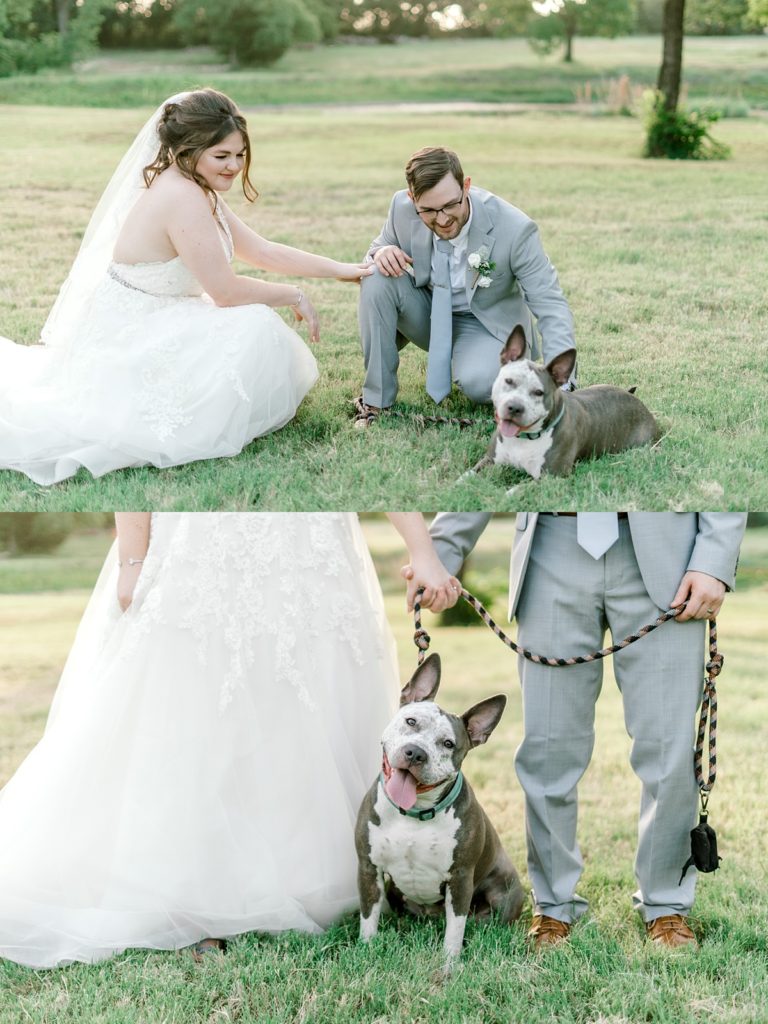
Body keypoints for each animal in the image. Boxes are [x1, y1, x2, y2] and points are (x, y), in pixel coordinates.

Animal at [354, 651, 524, 970]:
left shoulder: (460, 878)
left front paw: (449, 963)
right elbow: (368, 917)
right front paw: (366, 949)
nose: (415, 753)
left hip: (503, 890)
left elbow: (455, 928)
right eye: (411, 721)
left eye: (448, 744)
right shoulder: (369, 868)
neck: (414, 813)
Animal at [475, 325, 663, 481]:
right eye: (509, 381)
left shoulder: (551, 477)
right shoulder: (488, 460)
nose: (514, 407)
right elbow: (469, 477)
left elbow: (517, 492)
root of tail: (636, 400)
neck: (523, 438)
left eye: (538, 392)